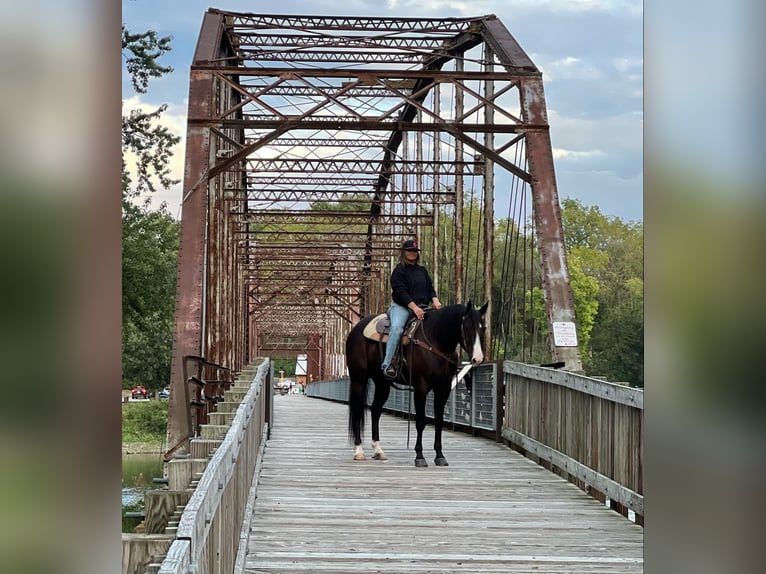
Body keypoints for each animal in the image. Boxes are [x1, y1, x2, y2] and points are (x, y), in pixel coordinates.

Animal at [346, 302, 488, 468]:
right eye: (467, 327)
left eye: (483, 327)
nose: (477, 359)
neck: (435, 340)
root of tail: (356, 328)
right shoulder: (421, 387)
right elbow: (420, 421)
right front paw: (419, 457)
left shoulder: (443, 388)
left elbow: (439, 421)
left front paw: (440, 456)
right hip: (359, 379)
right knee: (357, 411)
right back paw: (359, 451)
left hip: (382, 383)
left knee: (375, 410)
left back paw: (378, 450)